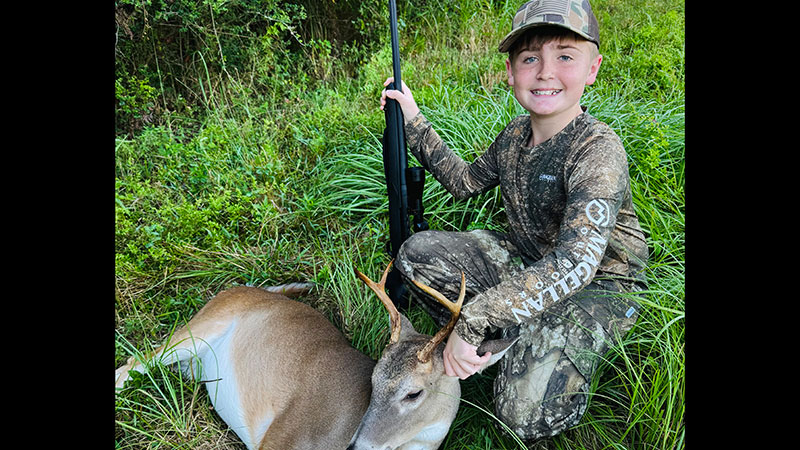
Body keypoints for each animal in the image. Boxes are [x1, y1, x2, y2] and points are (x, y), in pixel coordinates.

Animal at [115, 261, 517, 450]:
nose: (354, 445)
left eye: (414, 392)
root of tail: (241, 288)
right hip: (201, 327)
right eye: (372, 381)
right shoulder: (283, 437)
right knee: (132, 364)